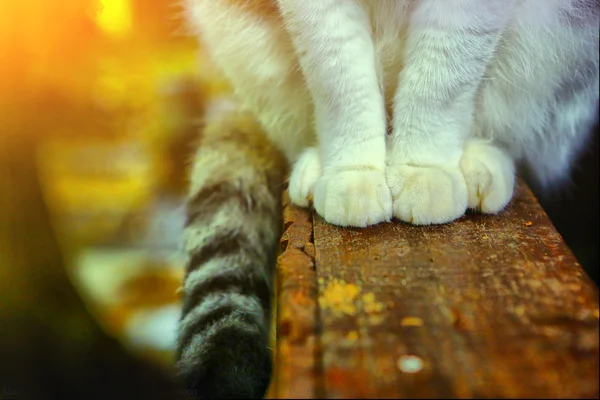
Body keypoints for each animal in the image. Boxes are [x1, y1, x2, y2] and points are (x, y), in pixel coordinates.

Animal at [176, 0, 596, 396]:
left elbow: (441, 79)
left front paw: (423, 166)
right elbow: (340, 81)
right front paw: (353, 171)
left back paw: (480, 165)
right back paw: (316, 168)